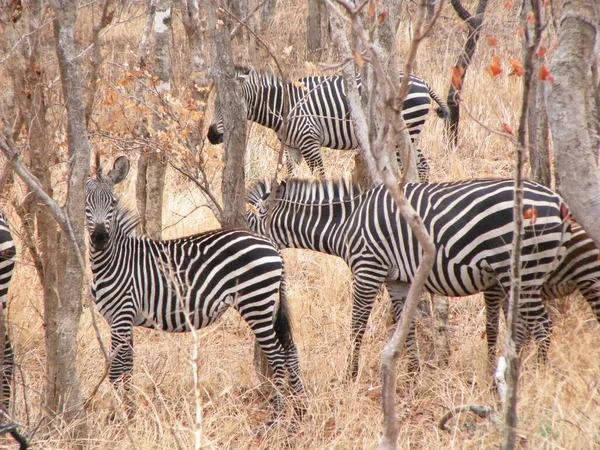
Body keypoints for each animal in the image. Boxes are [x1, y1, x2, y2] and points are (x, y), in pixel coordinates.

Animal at [84, 156, 304, 418]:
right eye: (86, 202)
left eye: (113, 202)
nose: (99, 238)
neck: (114, 260)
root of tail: (270, 244)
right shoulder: (122, 319)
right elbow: (128, 366)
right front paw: (130, 411)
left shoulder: (121, 316)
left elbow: (117, 369)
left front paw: (122, 416)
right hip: (267, 303)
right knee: (290, 349)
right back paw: (301, 410)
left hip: (255, 303)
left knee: (278, 356)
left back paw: (276, 417)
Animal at [206, 65, 446, 181]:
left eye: (229, 106)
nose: (210, 135)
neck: (283, 107)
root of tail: (423, 82)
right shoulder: (291, 147)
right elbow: (291, 175)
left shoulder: (309, 142)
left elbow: (320, 176)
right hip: (412, 133)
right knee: (423, 166)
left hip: (403, 133)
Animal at [247, 178, 572, 378]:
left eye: (250, 226)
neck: (346, 223)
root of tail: (556, 199)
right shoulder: (397, 280)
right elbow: (408, 327)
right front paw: (413, 375)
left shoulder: (368, 268)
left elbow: (357, 326)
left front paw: (350, 374)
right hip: (519, 273)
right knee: (528, 325)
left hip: (523, 269)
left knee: (543, 325)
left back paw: (537, 377)